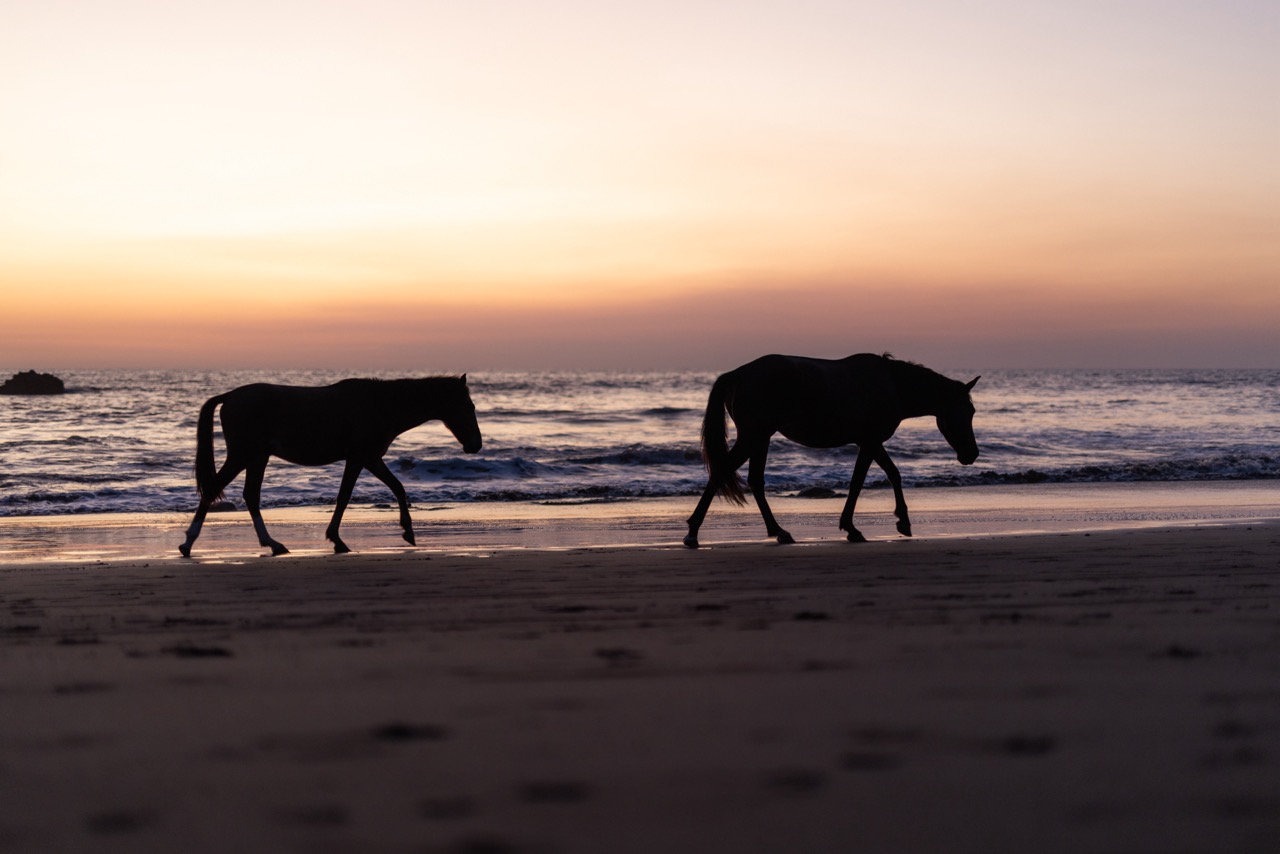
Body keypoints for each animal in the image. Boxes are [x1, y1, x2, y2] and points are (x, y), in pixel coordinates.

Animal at [179, 376, 482, 557]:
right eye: (468, 406)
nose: (476, 445)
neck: (379, 404)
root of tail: (229, 396)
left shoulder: (371, 459)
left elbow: (397, 487)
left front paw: (408, 532)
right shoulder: (358, 458)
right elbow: (344, 497)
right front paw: (337, 539)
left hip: (257, 457)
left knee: (250, 496)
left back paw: (272, 544)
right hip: (244, 455)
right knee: (216, 489)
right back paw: (188, 543)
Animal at [684, 354, 978, 548]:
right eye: (968, 411)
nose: (972, 454)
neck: (892, 385)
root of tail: (738, 373)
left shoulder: (870, 442)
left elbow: (887, 475)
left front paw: (896, 521)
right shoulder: (870, 441)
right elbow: (864, 481)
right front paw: (857, 528)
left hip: (760, 438)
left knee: (754, 480)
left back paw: (778, 531)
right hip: (753, 436)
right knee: (723, 472)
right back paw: (693, 532)